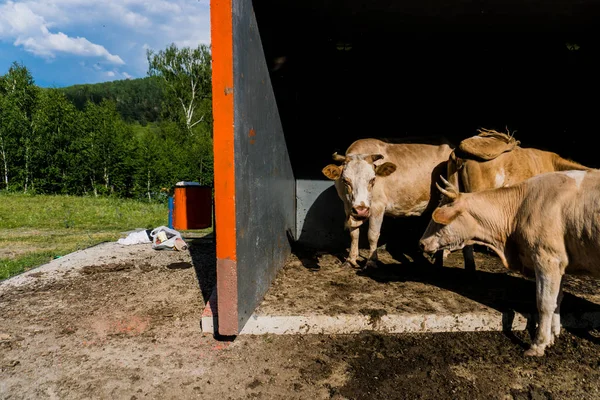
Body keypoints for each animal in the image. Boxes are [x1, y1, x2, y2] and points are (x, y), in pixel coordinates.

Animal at [322, 137, 452, 268]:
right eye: (345, 180)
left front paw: (371, 261)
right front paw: (350, 260)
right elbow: (354, 233)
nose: (361, 210)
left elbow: (372, 235)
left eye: (373, 179)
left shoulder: (377, 207)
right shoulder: (348, 207)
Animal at [420, 170, 596, 358]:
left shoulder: (547, 258)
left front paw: (538, 344)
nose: (421, 243)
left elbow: (545, 303)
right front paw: (552, 336)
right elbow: (557, 299)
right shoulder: (559, 261)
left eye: (438, 219)